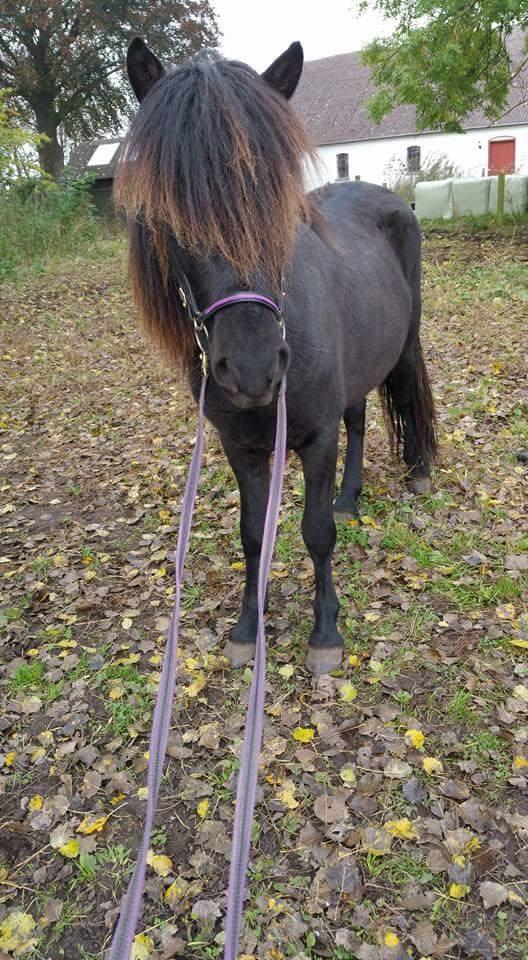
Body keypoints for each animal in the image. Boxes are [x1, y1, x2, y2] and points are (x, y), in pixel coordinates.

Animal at [116, 39, 438, 676]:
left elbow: (315, 533)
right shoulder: (239, 448)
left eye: (276, 198)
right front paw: (248, 628)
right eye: (169, 211)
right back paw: (350, 498)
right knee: (359, 420)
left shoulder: (313, 439)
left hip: (404, 342)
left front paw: (325, 633)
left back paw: (415, 471)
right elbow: (251, 534)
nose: (252, 370)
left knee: (405, 390)